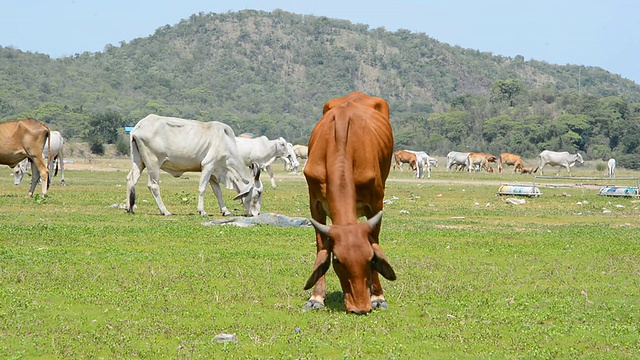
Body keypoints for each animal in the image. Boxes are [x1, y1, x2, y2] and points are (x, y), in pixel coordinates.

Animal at [125, 114, 262, 217]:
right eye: (258, 193)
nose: (257, 213)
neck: (226, 142)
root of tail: (139, 126)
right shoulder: (208, 165)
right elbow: (202, 189)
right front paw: (202, 211)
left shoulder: (214, 172)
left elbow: (218, 192)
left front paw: (225, 211)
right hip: (153, 163)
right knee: (153, 185)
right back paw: (165, 211)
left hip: (139, 161)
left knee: (131, 179)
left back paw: (129, 208)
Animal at [304, 91, 396, 314]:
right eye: (337, 259)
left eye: (371, 259)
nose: (360, 307)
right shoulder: (314, 203)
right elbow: (321, 248)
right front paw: (316, 297)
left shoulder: (376, 203)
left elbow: (375, 240)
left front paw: (378, 296)